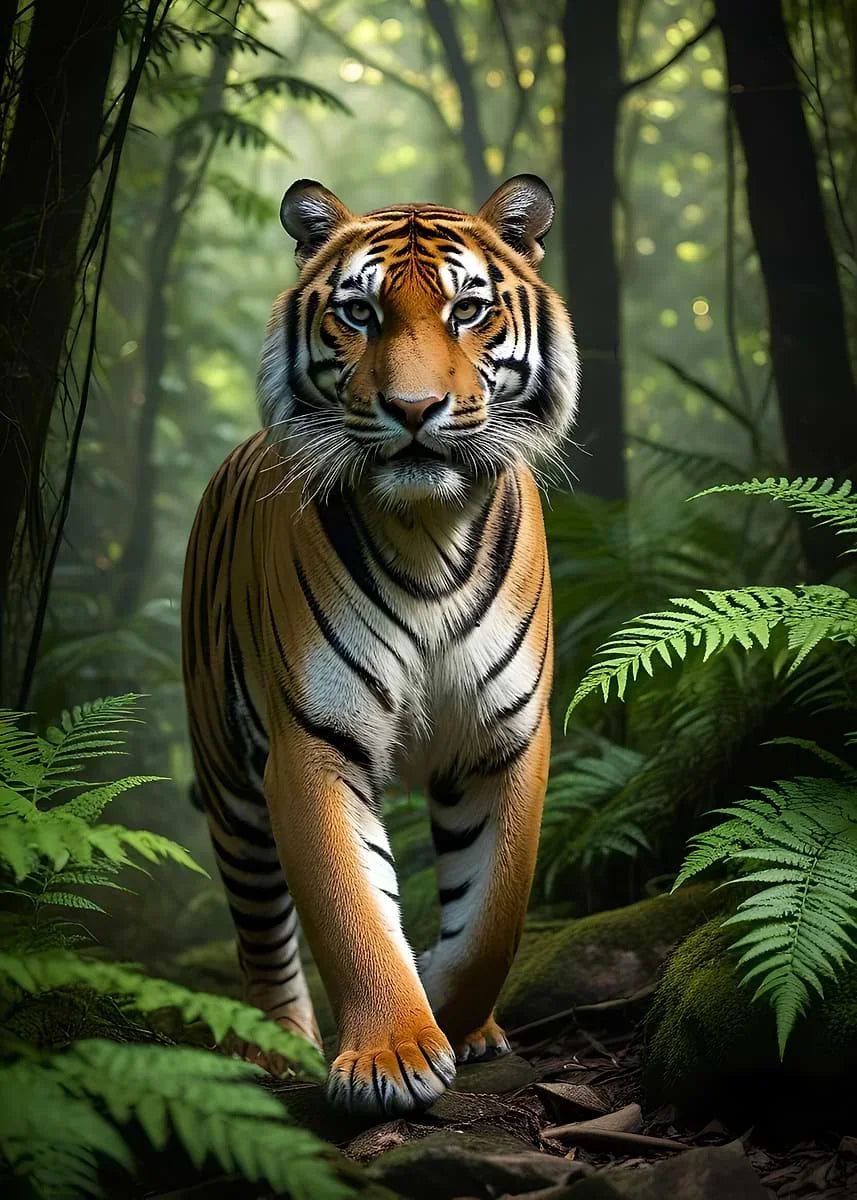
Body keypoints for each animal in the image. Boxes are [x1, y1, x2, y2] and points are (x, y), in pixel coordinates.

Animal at [181, 173, 579, 1116]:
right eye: (358, 314)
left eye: (468, 310)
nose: (412, 410)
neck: (427, 528)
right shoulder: (311, 743)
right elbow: (352, 912)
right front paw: (392, 1054)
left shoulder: (505, 736)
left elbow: (492, 917)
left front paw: (451, 1010)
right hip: (230, 786)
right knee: (262, 934)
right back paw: (274, 1050)